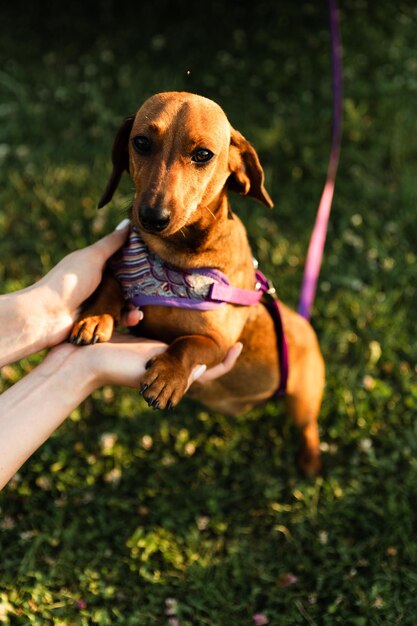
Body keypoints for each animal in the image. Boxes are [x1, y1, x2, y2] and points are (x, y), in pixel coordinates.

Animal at [70, 91, 324, 472]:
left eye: (203, 154)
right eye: (141, 142)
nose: (152, 217)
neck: (173, 258)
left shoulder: (218, 343)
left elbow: (187, 344)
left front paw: (169, 375)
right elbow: (111, 283)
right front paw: (96, 317)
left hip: (302, 400)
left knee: (308, 427)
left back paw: (309, 459)